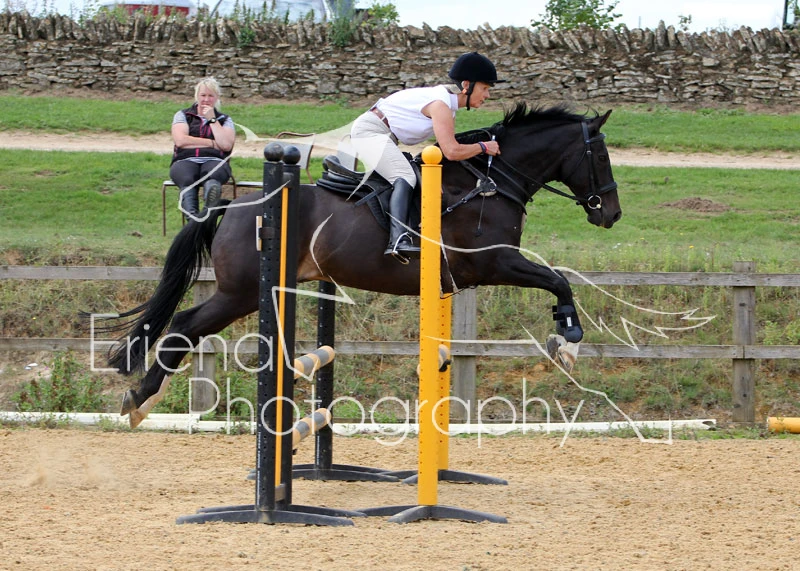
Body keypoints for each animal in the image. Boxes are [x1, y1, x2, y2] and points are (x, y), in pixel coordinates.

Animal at [102, 103, 621, 428]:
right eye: (599, 154)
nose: (611, 214)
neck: (490, 184)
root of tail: (232, 204)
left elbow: (556, 280)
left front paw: (565, 338)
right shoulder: (495, 262)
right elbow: (558, 281)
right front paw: (568, 340)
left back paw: (141, 399)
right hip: (241, 292)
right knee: (185, 326)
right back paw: (140, 400)